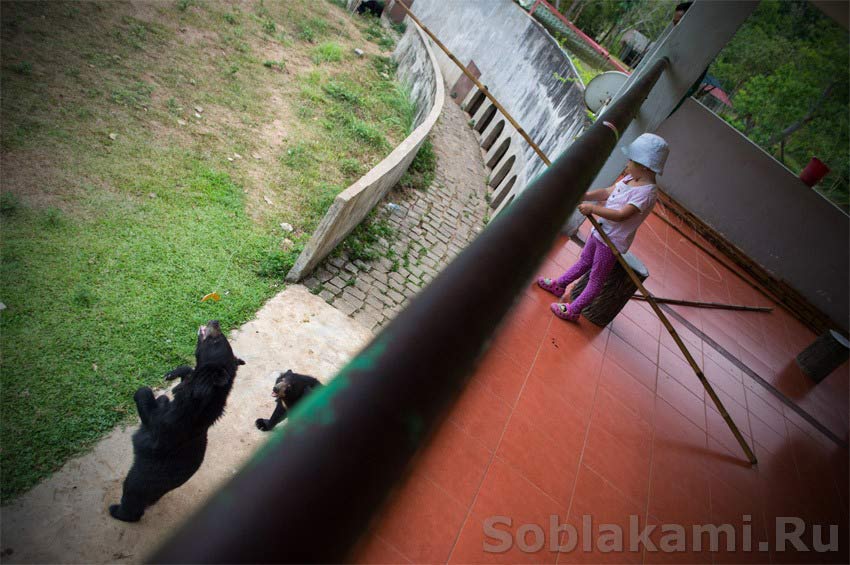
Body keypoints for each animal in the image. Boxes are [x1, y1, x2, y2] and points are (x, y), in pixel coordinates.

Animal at [107, 320, 243, 524]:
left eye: (217, 340)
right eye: (219, 335)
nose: (215, 322)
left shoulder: (171, 422)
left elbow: (151, 412)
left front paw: (146, 392)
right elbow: (184, 376)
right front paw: (172, 375)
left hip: (139, 481)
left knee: (132, 501)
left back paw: (116, 511)